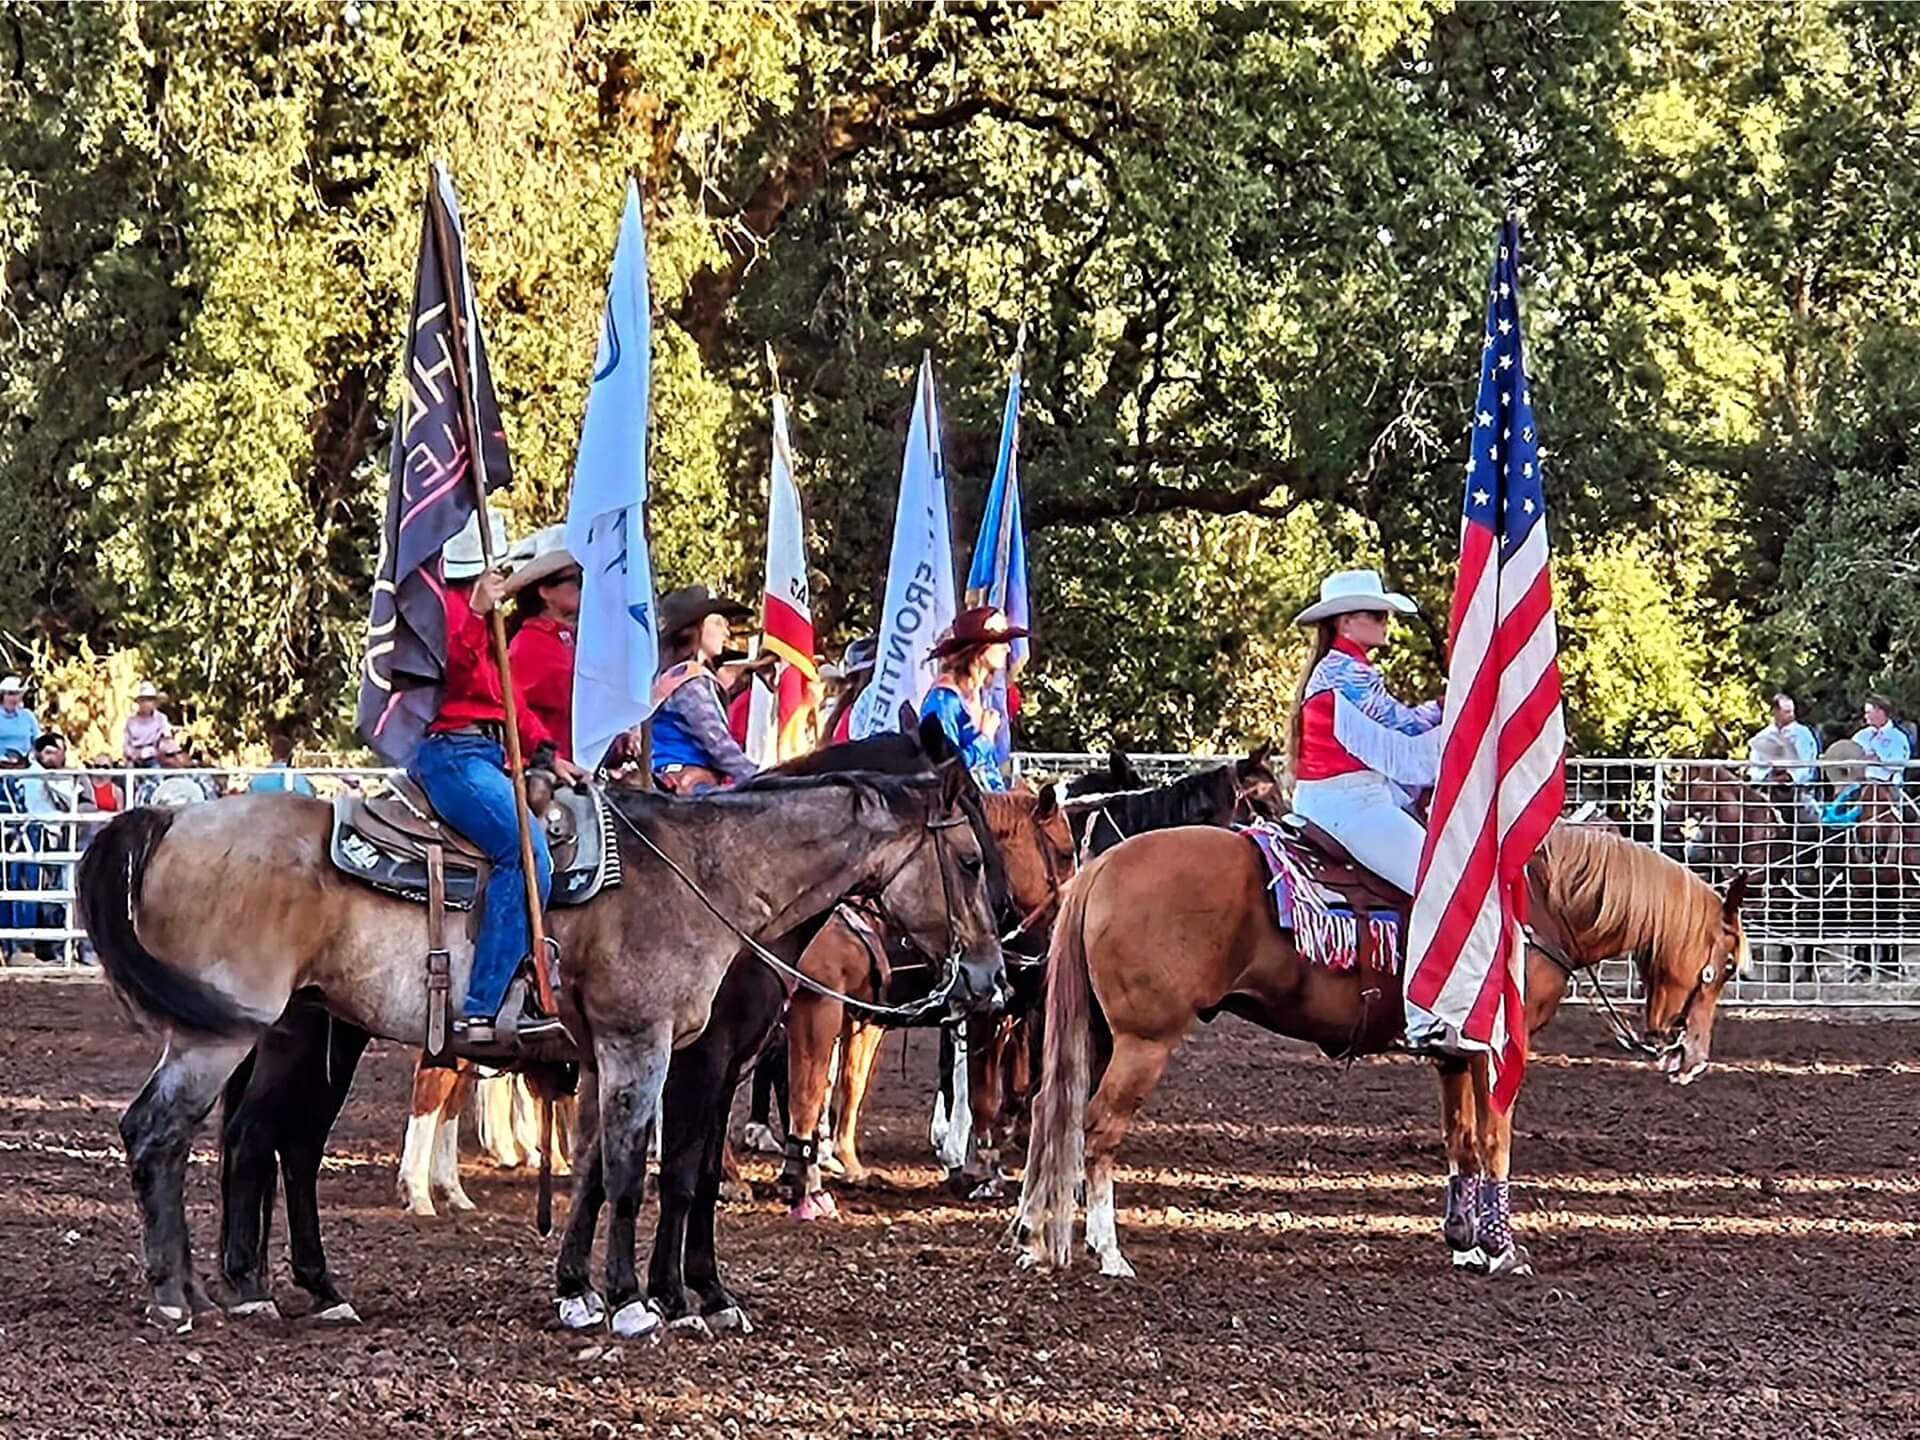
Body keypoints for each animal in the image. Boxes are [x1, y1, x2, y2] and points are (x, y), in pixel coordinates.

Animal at [74, 760, 1006, 1336]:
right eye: (968, 858)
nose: (992, 977)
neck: (699, 873)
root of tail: (169, 818)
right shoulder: (649, 1050)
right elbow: (644, 1175)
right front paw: (644, 1302)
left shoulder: (614, 1059)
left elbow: (597, 1169)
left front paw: (584, 1292)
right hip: (222, 1035)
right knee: (161, 1135)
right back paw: (178, 1297)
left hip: (290, 1036)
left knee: (260, 1144)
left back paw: (266, 1289)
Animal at [779, 791, 1082, 1221]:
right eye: (1066, 851)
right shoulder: (818, 1005)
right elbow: (809, 1092)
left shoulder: (865, 1014)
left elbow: (851, 1084)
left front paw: (848, 1164)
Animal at [1021, 817, 1758, 1282]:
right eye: (1724, 964)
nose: (1689, 1057)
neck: (1536, 905)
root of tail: (1102, 868)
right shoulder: (1494, 1051)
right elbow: (1494, 1142)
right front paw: (1502, 1249)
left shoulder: (1453, 1054)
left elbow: (1462, 1142)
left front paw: (1464, 1243)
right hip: (1144, 1042)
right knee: (1097, 1130)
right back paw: (1108, 1253)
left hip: (1098, 1035)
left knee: (1052, 1115)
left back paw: (1032, 1237)